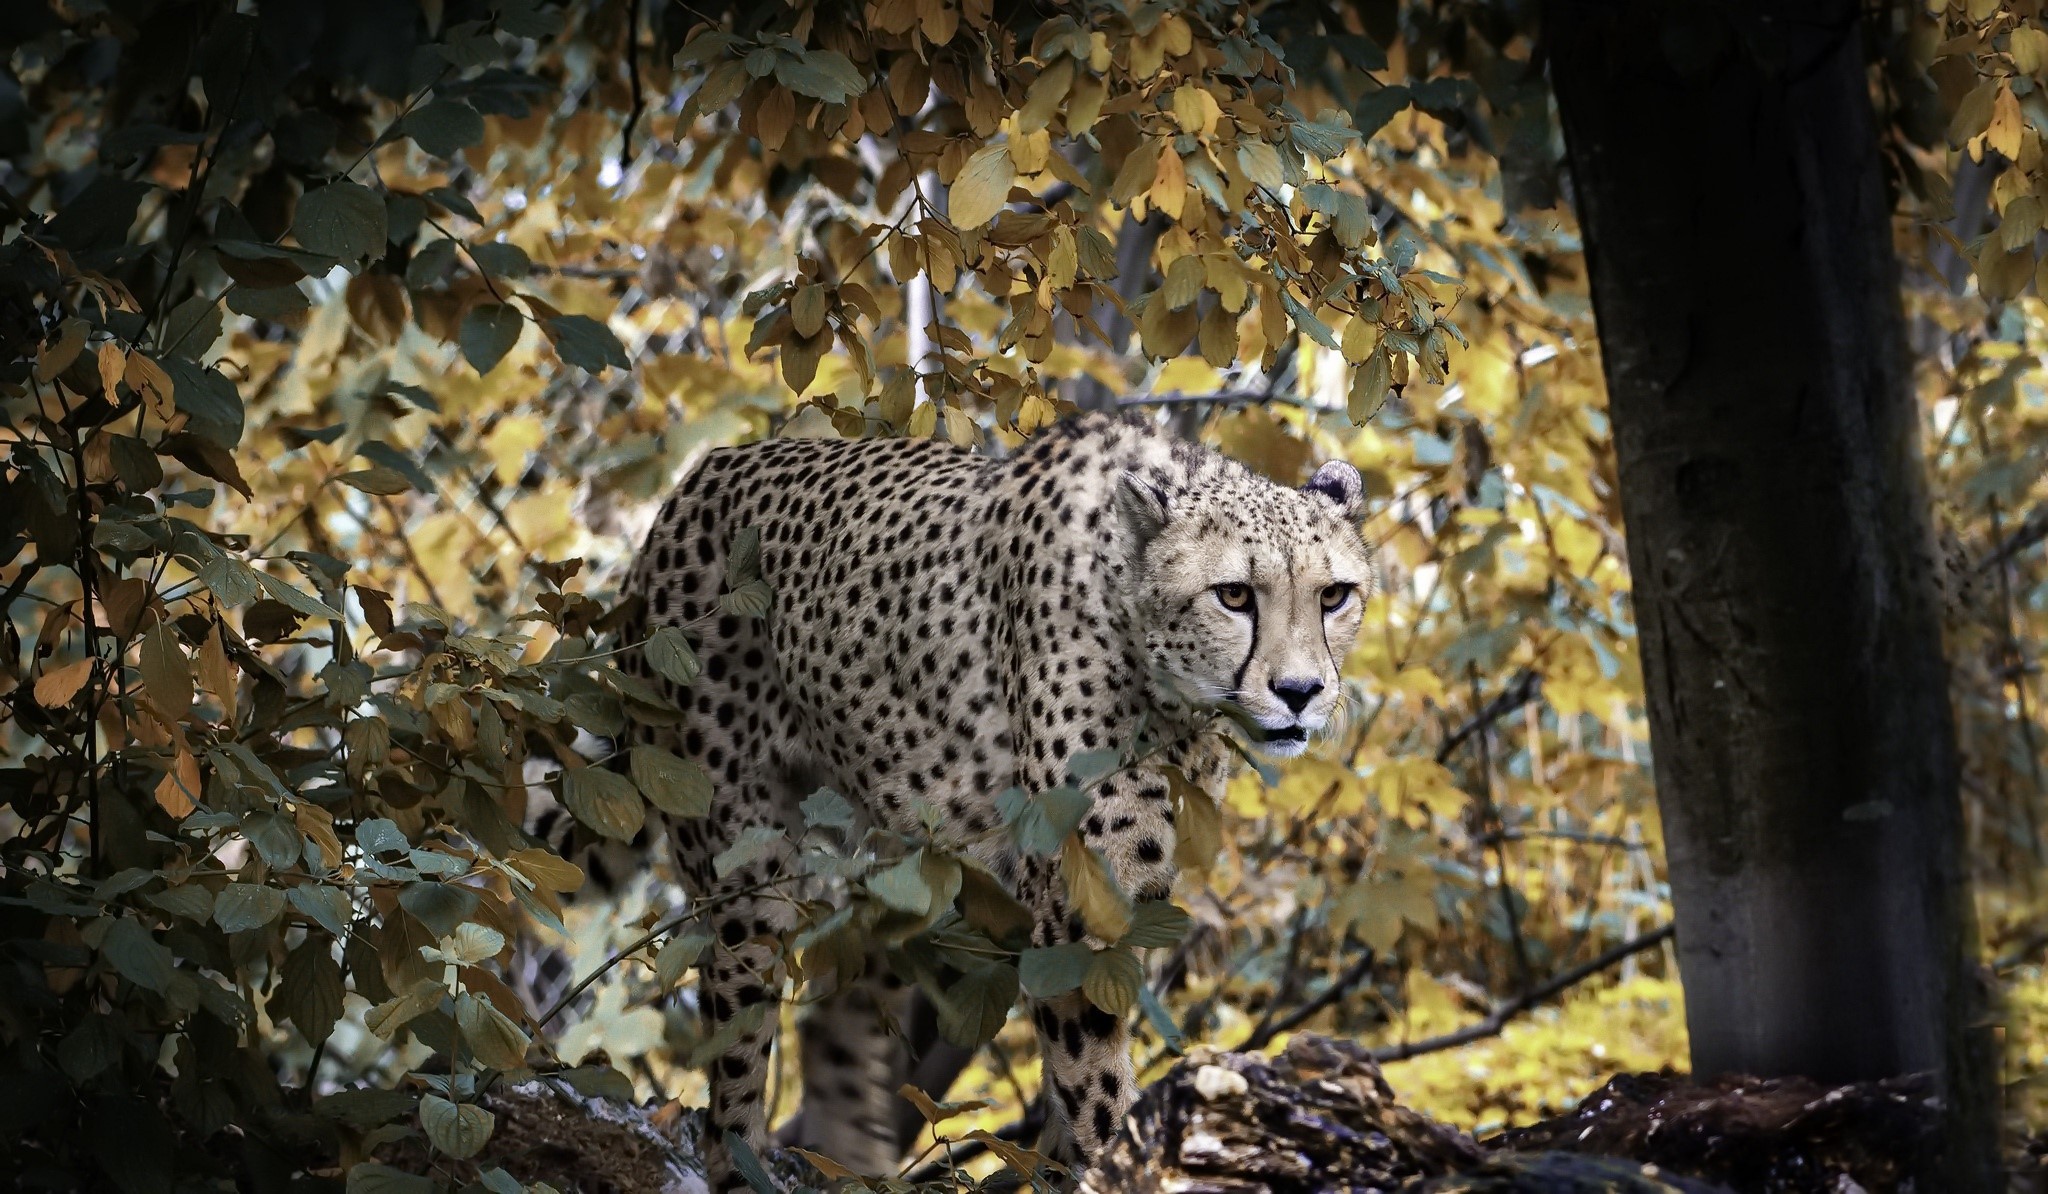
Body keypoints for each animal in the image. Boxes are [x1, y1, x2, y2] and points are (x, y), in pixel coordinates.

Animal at [614, 411, 1377, 1190]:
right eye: (1234, 595)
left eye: (1333, 595)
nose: (1301, 692)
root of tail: (703, 473)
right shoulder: (1078, 913)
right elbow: (1095, 1084)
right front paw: (1108, 1159)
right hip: (742, 862)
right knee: (732, 1062)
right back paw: (744, 1160)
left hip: (910, 858)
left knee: (843, 1017)